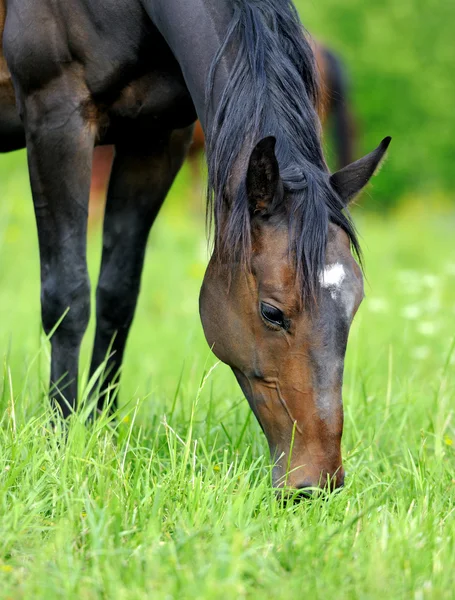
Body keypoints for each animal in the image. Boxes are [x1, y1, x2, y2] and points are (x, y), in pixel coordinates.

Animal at [0, 0, 392, 492]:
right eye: (271, 312)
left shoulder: (155, 138)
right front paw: (62, 440)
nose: (318, 481)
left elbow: (118, 297)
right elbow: (68, 300)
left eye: (354, 305)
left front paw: (101, 432)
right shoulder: (55, 118)